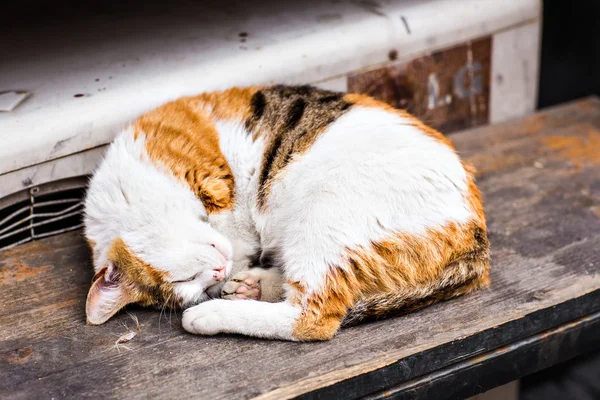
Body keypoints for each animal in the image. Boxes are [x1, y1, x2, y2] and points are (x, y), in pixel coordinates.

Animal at [83, 84, 488, 340]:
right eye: (191, 284)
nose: (217, 273)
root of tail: (478, 241)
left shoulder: (213, 181)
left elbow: (235, 225)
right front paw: (234, 279)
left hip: (326, 208)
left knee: (312, 319)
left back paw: (212, 314)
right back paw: (250, 286)